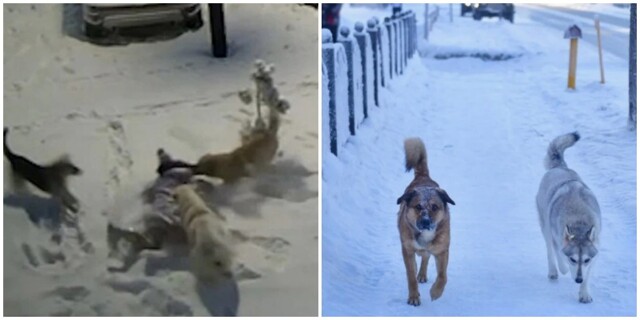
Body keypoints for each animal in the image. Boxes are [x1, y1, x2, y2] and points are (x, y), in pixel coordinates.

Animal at [396, 136, 456, 306]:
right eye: (418, 206)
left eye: (435, 207)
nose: (425, 222)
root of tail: (423, 177)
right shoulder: (407, 249)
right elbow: (410, 275)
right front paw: (413, 297)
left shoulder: (442, 250)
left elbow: (443, 276)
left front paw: (436, 292)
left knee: (425, 257)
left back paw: (422, 274)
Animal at [536, 131, 600, 302]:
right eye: (573, 259)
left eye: (586, 260)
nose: (578, 279)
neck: (579, 221)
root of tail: (560, 168)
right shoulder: (557, 237)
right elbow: (560, 256)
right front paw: (564, 269)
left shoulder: (595, 250)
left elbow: (588, 274)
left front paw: (584, 294)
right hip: (545, 227)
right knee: (550, 250)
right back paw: (553, 272)